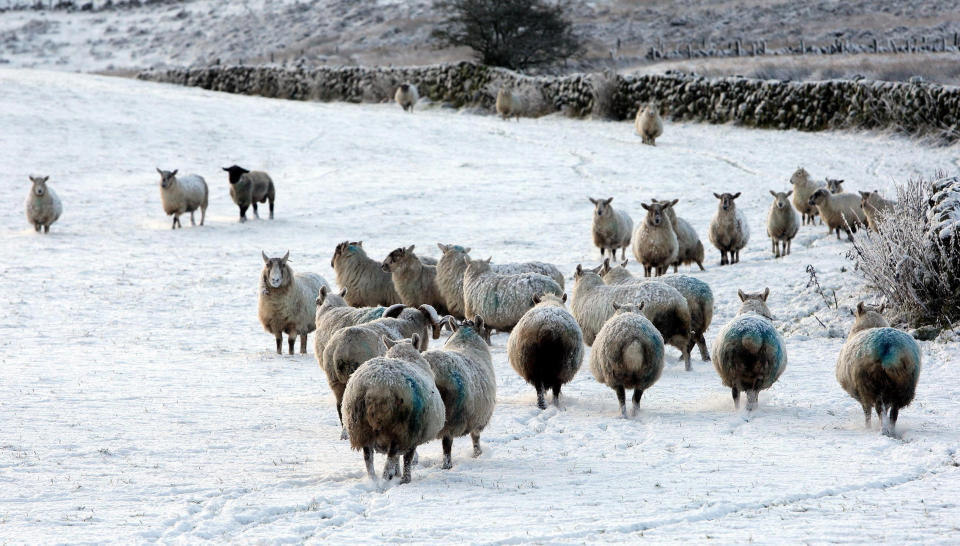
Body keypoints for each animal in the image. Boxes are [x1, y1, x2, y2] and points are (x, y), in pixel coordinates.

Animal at [342, 334, 446, 482]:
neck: (403, 356)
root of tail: (374, 387)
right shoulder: (412, 435)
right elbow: (407, 459)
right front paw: (404, 479)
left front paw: (397, 474)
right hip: (400, 429)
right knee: (389, 462)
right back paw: (389, 480)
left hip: (361, 428)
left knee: (369, 460)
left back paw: (374, 481)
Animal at [424, 314, 496, 468]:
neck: (465, 341)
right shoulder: (478, 418)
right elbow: (475, 438)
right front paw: (477, 454)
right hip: (450, 417)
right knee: (447, 445)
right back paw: (447, 466)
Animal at [836, 300, 920, 436]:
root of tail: (889, 347)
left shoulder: (863, 394)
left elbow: (867, 412)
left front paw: (868, 427)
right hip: (903, 386)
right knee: (894, 413)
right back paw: (891, 430)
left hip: (870, 384)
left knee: (879, 410)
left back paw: (882, 430)